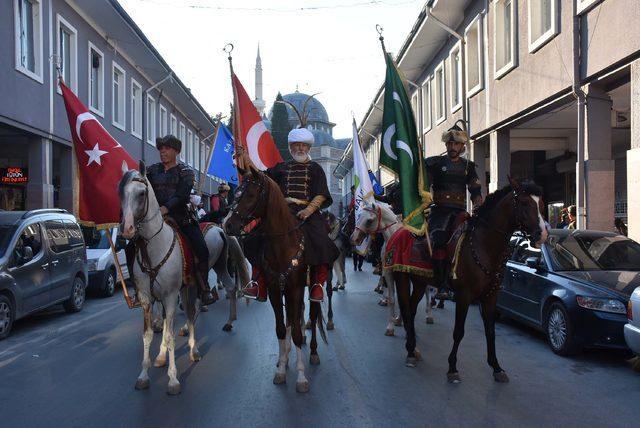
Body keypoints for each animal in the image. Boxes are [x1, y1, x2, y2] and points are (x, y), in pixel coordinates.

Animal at [119, 164, 199, 394]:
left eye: (141, 193)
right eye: (120, 193)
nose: (126, 229)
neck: (153, 248)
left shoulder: (171, 295)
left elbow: (171, 334)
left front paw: (173, 380)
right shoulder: (147, 298)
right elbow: (147, 334)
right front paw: (143, 375)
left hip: (189, 288)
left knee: (190, 314)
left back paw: (193, 350)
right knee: (165, 320)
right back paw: (161, 356)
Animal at [225, 166, 324, 392]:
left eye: (250, 195)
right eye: (235, 194)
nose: (228, 225)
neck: (283, 244)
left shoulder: (295, 288)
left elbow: (296, 332)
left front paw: (301, 377)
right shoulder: (274, 290)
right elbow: (281, 328)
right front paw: (280, 369)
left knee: (312, 317)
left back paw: (313, 352)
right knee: (291, 319)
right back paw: (285, 356)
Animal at [350, 201, 436, 338]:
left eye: (369, 220)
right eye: (359, 217)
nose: (353, 239)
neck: (394, 237)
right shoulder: (390, 273)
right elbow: (394, 299)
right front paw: (392, 325)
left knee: (428, 290)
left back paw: (429, 315)